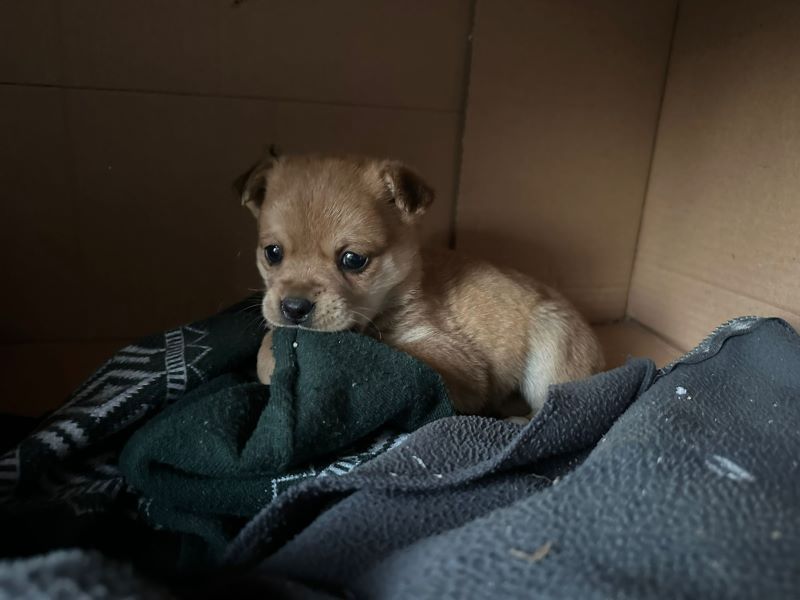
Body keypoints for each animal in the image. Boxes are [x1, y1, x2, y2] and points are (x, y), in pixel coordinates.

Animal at [234, 155, 604, 418]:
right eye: (272, 253)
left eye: (353, 260)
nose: (294, 307)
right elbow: (268, 343)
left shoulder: (454, 362)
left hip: (551, 347)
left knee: (556, 403)